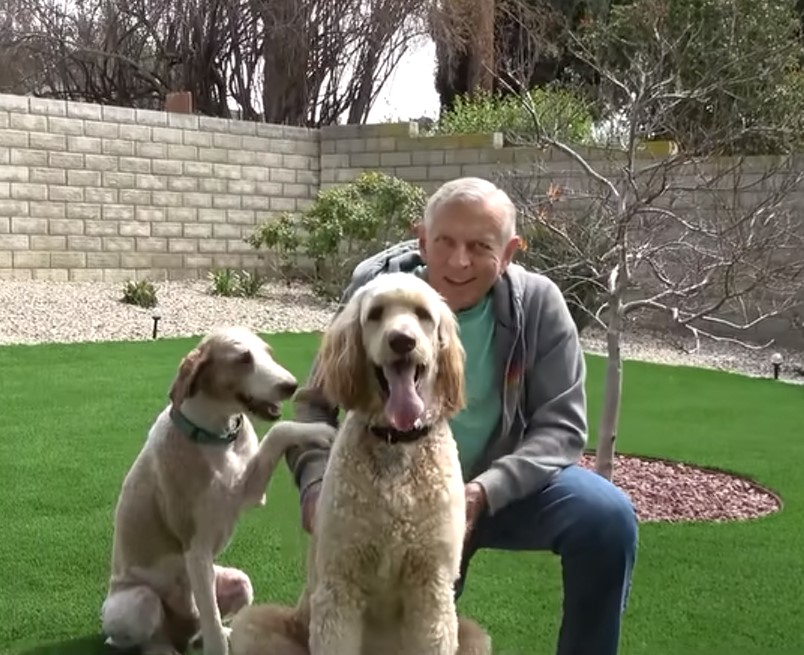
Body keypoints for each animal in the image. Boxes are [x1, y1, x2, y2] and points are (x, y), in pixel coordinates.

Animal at [99, 326, 332, 655]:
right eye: (243, 358)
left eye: (268, 352)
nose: (291, 385)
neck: (215, 438)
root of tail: (180, 633)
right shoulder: (196, 548)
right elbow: (210, 620)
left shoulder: (250, 492)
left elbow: (279, 430)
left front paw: (321, 432)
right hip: (138, 602)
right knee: (154, 634)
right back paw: (164, 648)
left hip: (239, 581)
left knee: (208, 623)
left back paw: (222, 632)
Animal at [226, 272, 490, 655]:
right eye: (376, 313)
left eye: (423, 315)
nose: (402, 341)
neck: (396, 443)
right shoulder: (341, 582)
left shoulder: (432, 587)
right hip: (256, 625)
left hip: (473, 636)